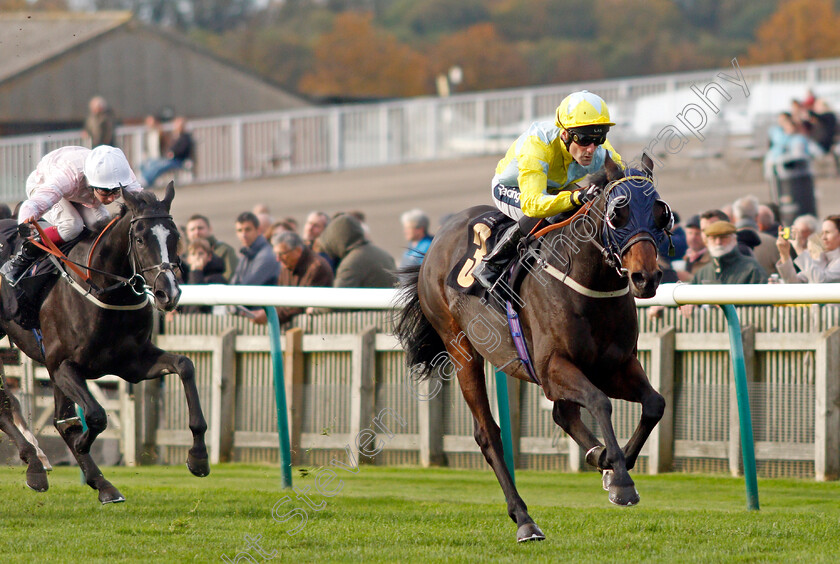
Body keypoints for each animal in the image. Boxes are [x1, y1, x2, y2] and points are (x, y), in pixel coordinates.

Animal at [0, 184, 209, 502]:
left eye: (176, 236)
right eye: (140, 239)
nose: (168, 293)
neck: (105, 289)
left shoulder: (132, 363)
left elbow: (185, 365)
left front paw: (198, 457)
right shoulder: (61, 366)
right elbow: (95, 416)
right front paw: (83, 446)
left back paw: (96, 481)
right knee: (5, 405)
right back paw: (36, 465)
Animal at [394, 154, 668, 540]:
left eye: (661, 213)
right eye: (618, 213)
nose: (646, 278)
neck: (589, 283)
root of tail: (435, 243)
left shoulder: (615, 366)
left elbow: (654, 404)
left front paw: (614, 464)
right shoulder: (552, 367)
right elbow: (600, 402)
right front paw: (620, 480)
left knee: (563, 414)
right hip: (460, 348)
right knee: (488, 433)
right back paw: (524, 519)